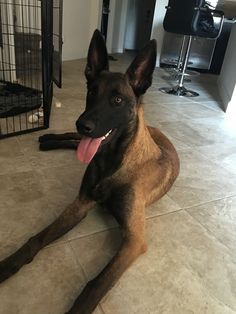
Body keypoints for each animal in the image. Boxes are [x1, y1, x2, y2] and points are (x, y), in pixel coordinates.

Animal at [0, 30, 179, 314]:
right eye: (92, 92)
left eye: (117, 100)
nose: (82, 124)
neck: (112, 161)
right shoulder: (80, 205)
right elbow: (35, 239)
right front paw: (7, 265)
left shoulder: (134, 241)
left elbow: (98, 283)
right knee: (72, 140)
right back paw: (48, 138)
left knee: (75, 143)